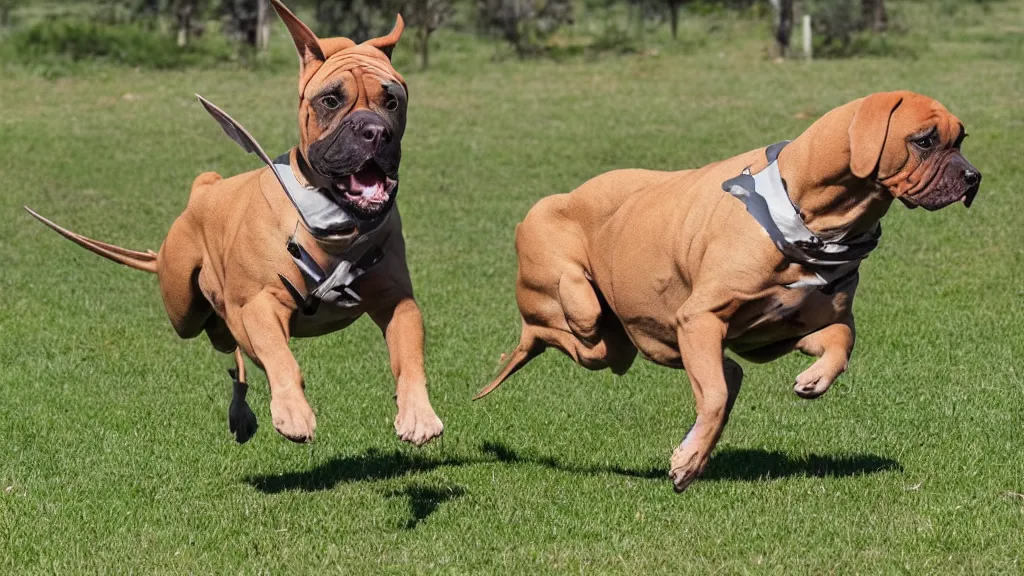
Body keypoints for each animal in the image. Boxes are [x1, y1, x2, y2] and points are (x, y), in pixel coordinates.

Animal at [25, 0, 442, 446]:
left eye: (391, 101)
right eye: (331, 100)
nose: (376, 132)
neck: (334, 225)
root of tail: (202, 192)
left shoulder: (397, 301)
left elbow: (409, 357)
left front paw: (418, 413)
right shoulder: (260, 305)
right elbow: (281, 358)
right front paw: (293, 412)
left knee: (229, 341)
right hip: (185, 309)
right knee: (224, 336)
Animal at [475, 91, 978, 491]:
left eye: (962, 139)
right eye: (925, 140)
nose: (974, 178)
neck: (809, 216)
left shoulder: (773, 335)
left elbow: (841, 339)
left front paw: (815, 378)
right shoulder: (700, 319)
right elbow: (714, 395)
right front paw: (687, 461)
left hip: (636, 343)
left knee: (722, 370)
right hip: (592, 326)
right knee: (552, 325)